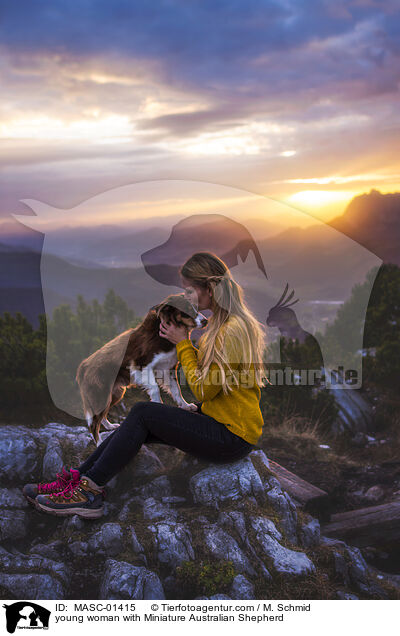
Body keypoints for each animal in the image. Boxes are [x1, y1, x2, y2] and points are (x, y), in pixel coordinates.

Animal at [75, 296, 208, 444]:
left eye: (196, 307)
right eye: (187, 309)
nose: (206, 321)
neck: (159, 333)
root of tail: (83, 366)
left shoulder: (167, 368)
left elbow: (176, 390)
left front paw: (185, 406)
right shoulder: (141, 366)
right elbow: (155, 389)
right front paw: (158, 408)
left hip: (115, 394)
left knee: (101, 415)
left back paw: (109, 426)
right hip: (101, 394)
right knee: (93, 424)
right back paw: (98, 442)